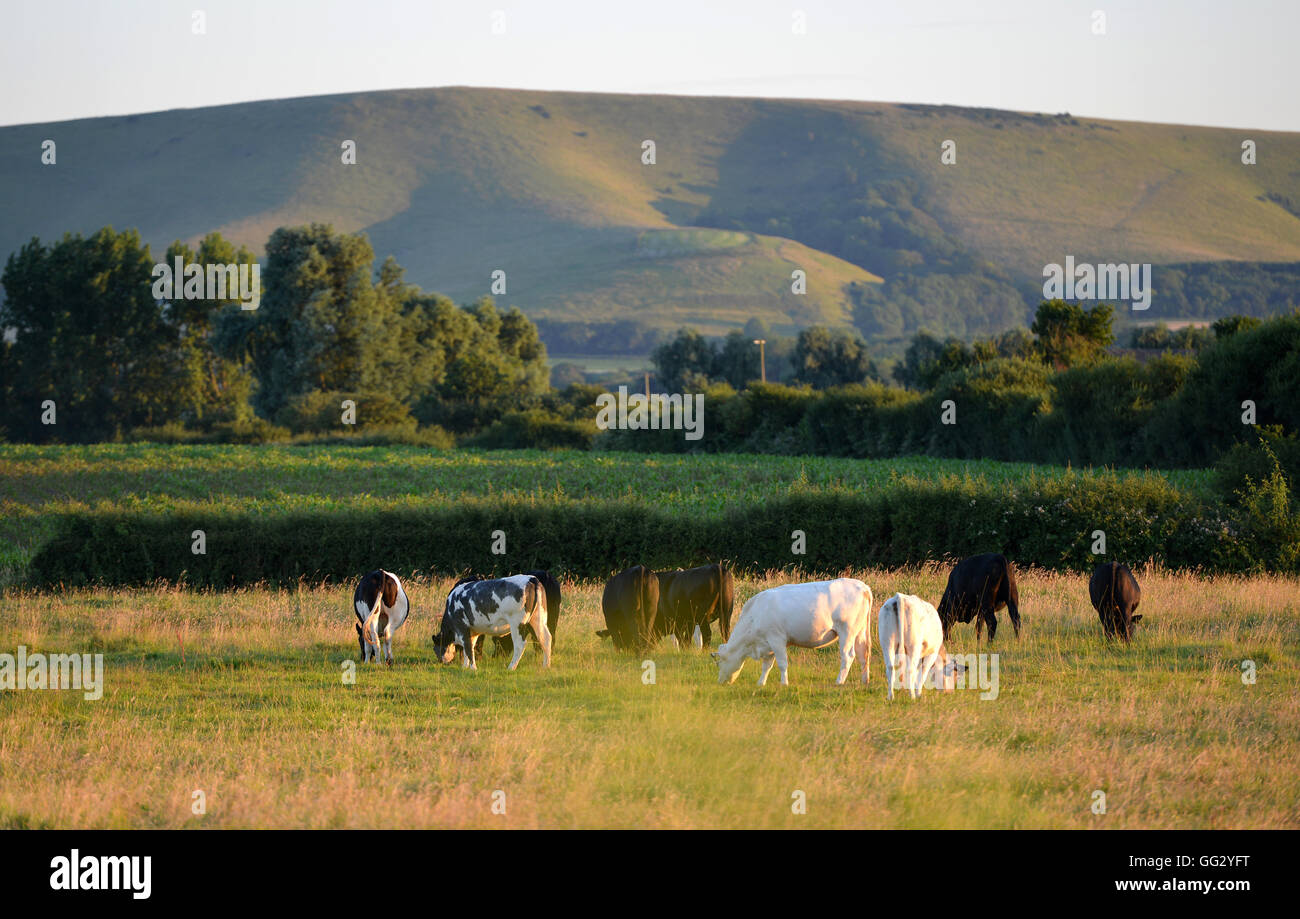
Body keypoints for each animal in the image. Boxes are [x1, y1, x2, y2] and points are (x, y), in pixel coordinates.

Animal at [712, 579, 873, 686]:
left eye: (719, 663)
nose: (720, 681)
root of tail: (862, 586)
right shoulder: (768, 644)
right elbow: (766, 666)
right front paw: (761, 683)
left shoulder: (777, 639)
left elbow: (782, 663)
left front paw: (784, 683)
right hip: (860, 632)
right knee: (863, 654)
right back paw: (865, 681)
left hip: (847, 631)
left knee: (848, 656)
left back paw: (839, 681)